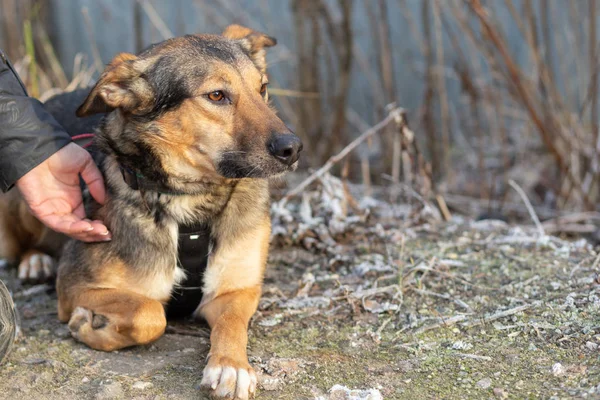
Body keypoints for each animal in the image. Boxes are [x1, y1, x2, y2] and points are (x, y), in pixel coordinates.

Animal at [0, 25, 302, 400]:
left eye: (262, 88)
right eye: (217, 95)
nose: (293, 148)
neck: (192, 202)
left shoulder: (237, 290)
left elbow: (232, 325)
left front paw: (231, 367)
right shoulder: (74, 286)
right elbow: (151, 312)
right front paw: (89, 327)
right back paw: (35, 261)